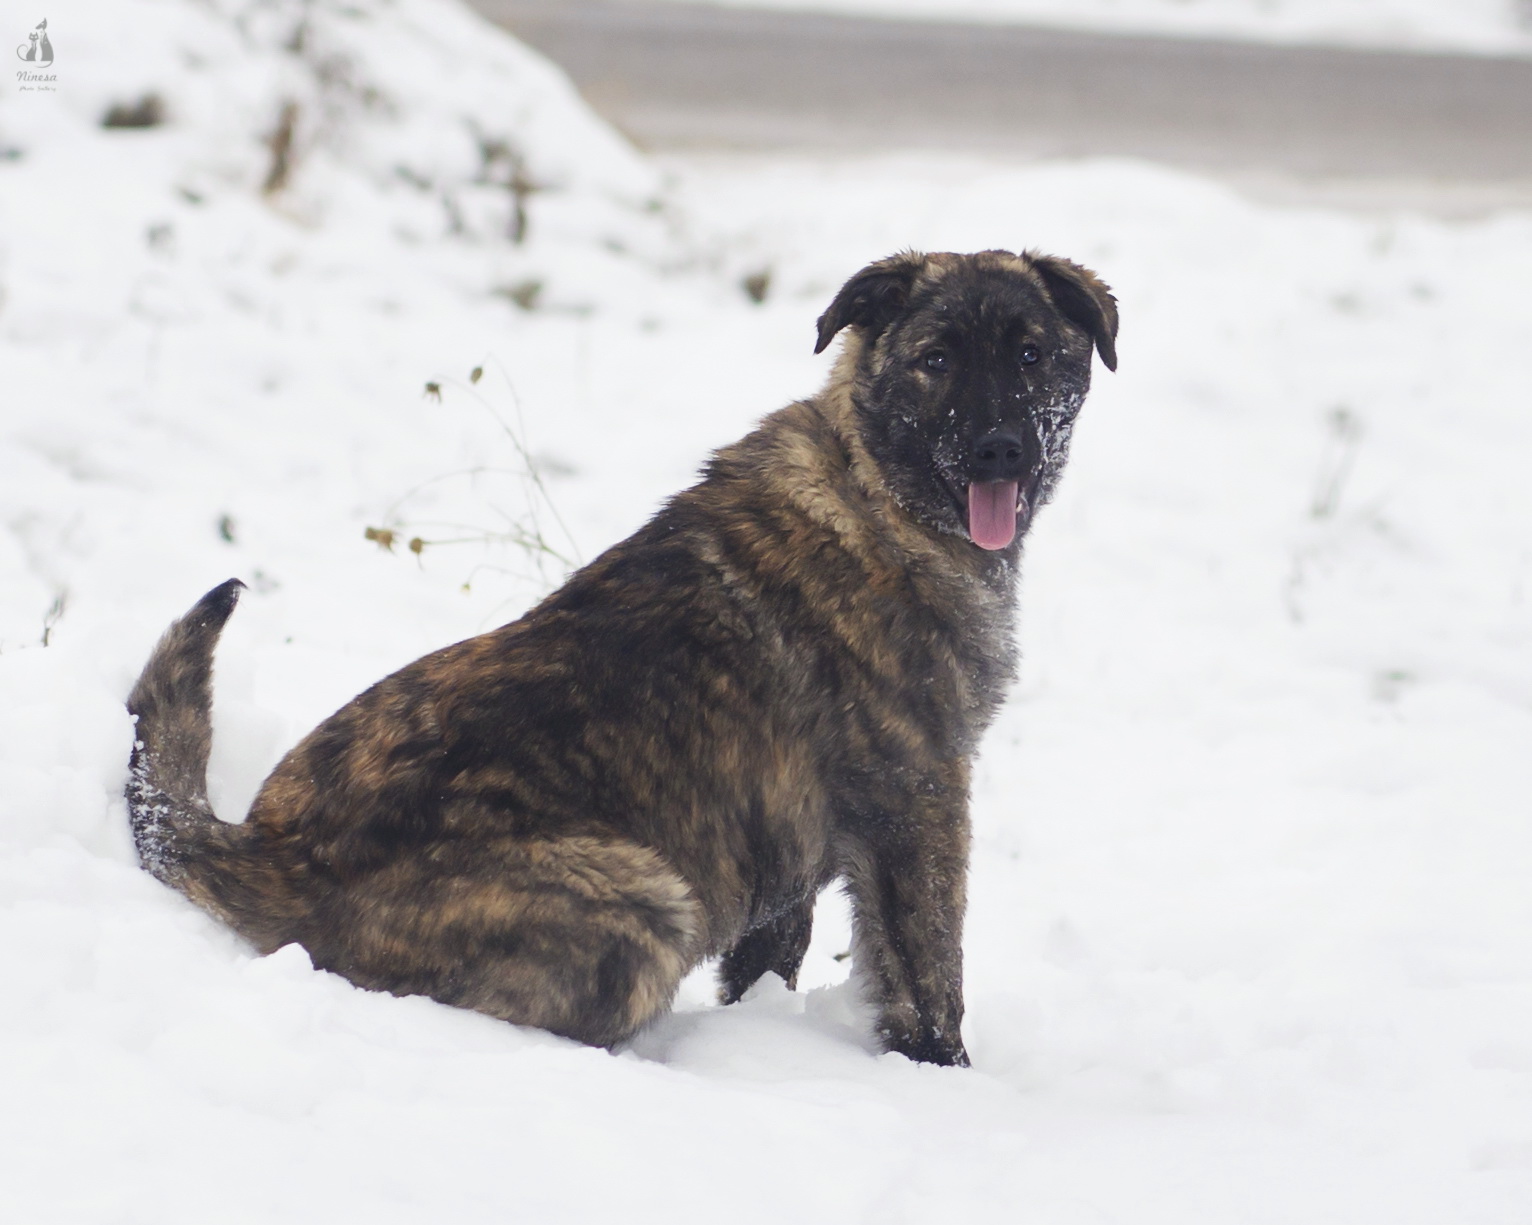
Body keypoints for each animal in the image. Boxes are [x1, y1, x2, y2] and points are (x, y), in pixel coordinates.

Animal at [126, 249, 1117, 1066]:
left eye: (1032, 355)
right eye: (935, 359)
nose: (998, 449)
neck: (875, 490)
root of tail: (266, 850)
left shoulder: (793, 847)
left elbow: (771, 960)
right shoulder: (921, 803)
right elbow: (928, 977)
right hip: (649, 902)